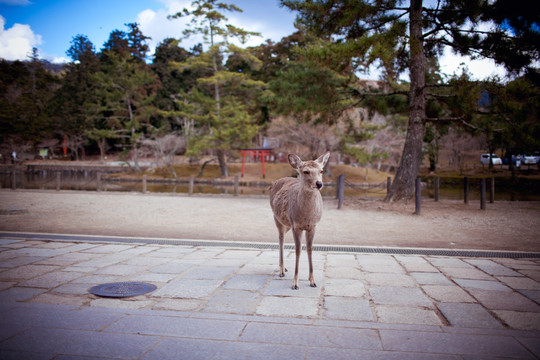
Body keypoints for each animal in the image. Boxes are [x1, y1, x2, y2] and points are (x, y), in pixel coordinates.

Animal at [268, 151, 330, 290]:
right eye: (306, 171)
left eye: (321, 170)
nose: (319, 184)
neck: (306, 216)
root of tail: (273, 183)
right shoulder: (296, 226)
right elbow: (297, 250)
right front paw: (295, 283)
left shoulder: (313, 226)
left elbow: (310, 249)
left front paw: (312, 280)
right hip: (277, 218)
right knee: (280, 239)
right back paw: (281, 270)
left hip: (287, 224)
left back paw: (284, 267)